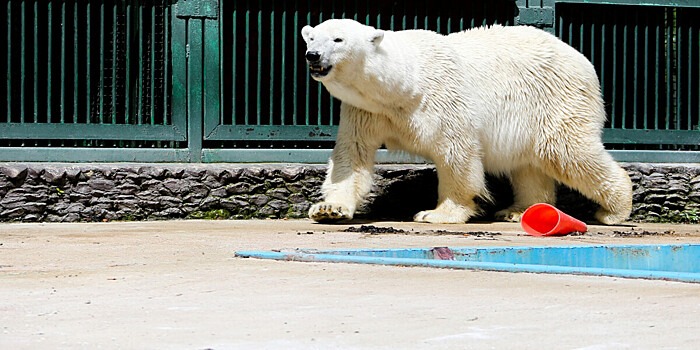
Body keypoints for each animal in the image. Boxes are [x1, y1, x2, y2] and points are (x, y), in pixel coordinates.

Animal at [300, 18, 636, 224]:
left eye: (338, 39)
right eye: (312, 37)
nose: (312, 55)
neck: (403, 85)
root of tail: (582, 60)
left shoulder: (442, 98)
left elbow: (456, 153)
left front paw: (436, 214)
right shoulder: (365, 110)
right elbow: (352, 156)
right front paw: (329, 209)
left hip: (555, 99)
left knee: (565, 151)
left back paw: (614, 210)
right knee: (528, 164)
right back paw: (519, 211)